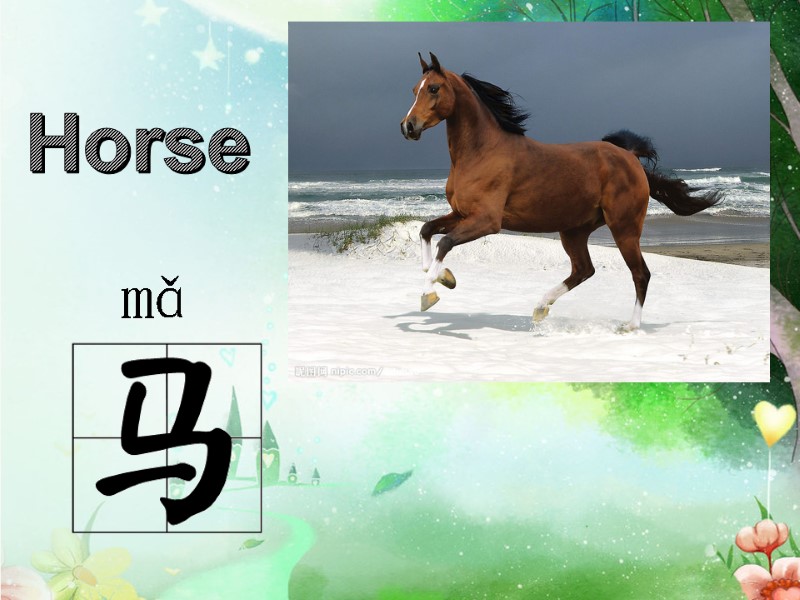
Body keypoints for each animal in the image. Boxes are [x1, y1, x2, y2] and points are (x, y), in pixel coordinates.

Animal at [400, 52, 722, 331]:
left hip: (624, 228)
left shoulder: (487, 221)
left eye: (433, 88)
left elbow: (445, 243)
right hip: (574, 231)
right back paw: (540, 308)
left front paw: (429, 294)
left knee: (640, 273)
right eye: (415, 89)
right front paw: (444, 277)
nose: (408, 126)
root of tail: (629, 157)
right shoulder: (461, 213)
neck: (481, 152)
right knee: (584, 270)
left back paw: (630, 326)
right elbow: (427, 231)